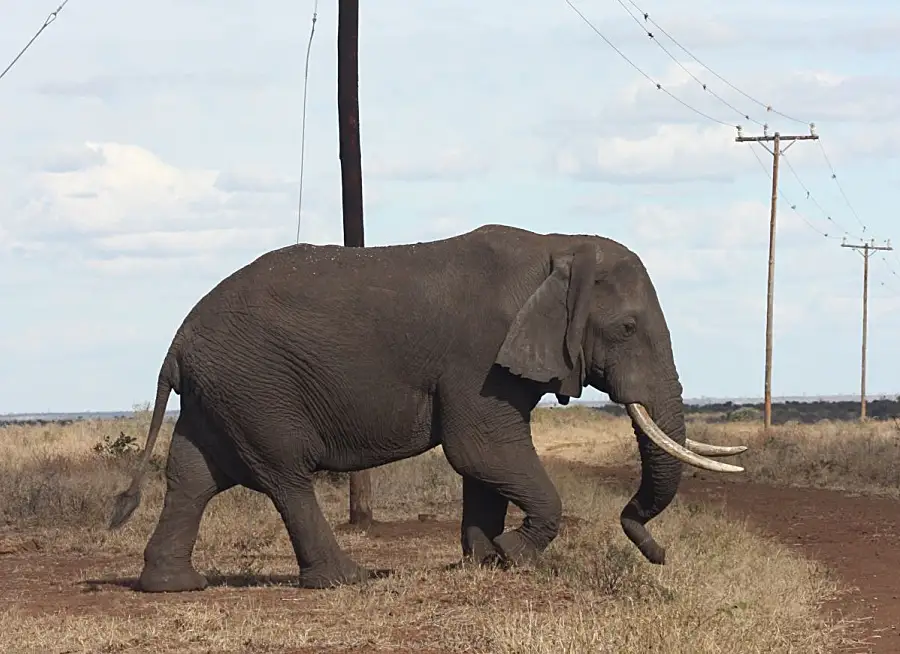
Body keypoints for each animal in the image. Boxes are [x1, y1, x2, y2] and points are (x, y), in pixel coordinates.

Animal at [107, 224, 744, 596]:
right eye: (627, 329)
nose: (658, 554)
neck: (556, 245)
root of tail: (178, 341)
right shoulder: (479, 356)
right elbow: (481, 451)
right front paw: (514, 557)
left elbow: (484, 466)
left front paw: (485, 563)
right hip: (256, 387)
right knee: (284, 475)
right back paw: (344, 581)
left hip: (224, 392)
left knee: (193, 475)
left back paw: (172, 586)